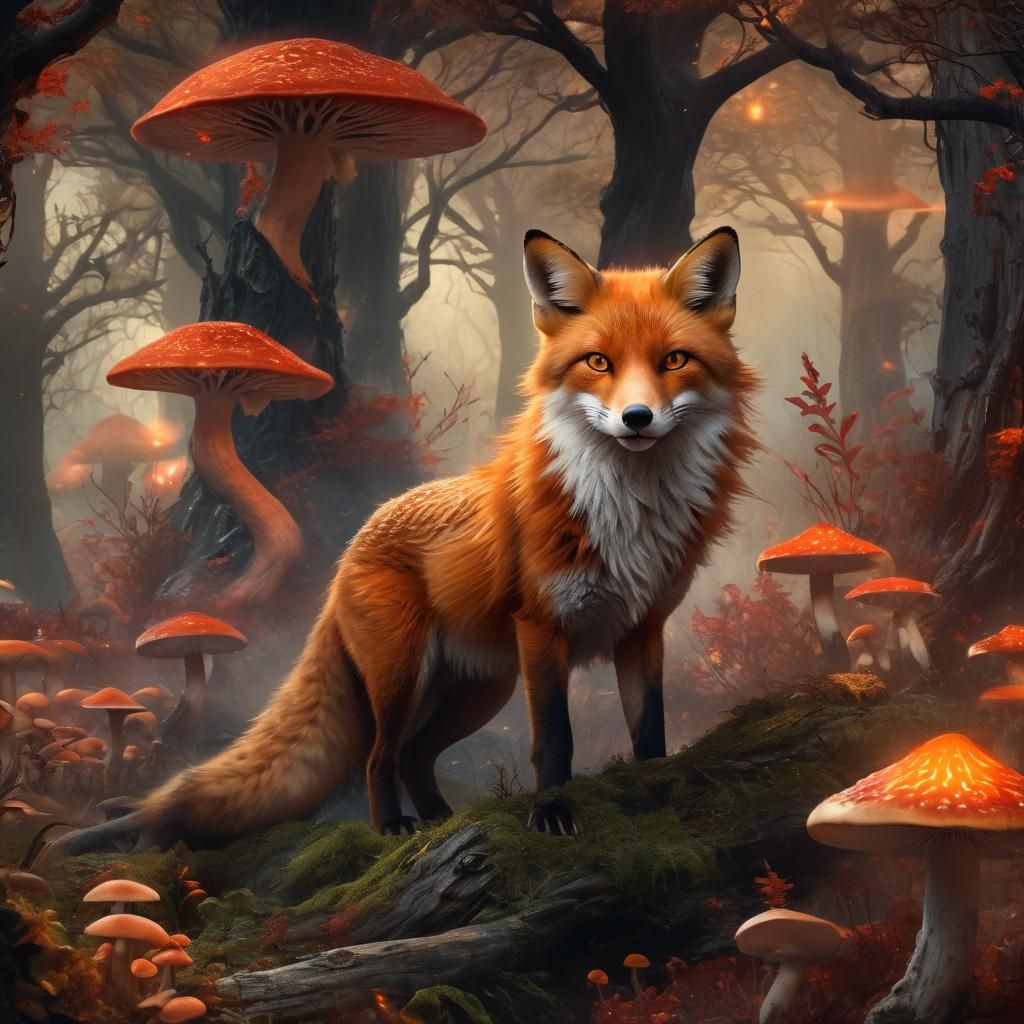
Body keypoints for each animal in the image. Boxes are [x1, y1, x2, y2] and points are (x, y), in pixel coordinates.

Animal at [98, 226, 756, 848]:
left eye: (674, 360)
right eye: (598, 363)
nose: (637, 419)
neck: (627, 515)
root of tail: (354, 542)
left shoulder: (643, 629)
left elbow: (650, 733)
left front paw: (658, 801)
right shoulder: (543, 630)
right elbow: (555, 740)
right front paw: (551, 814)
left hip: (480, 688)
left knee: (416, 755)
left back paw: (442, 819)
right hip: (402, 676)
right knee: (378, 756)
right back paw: (393, 826)